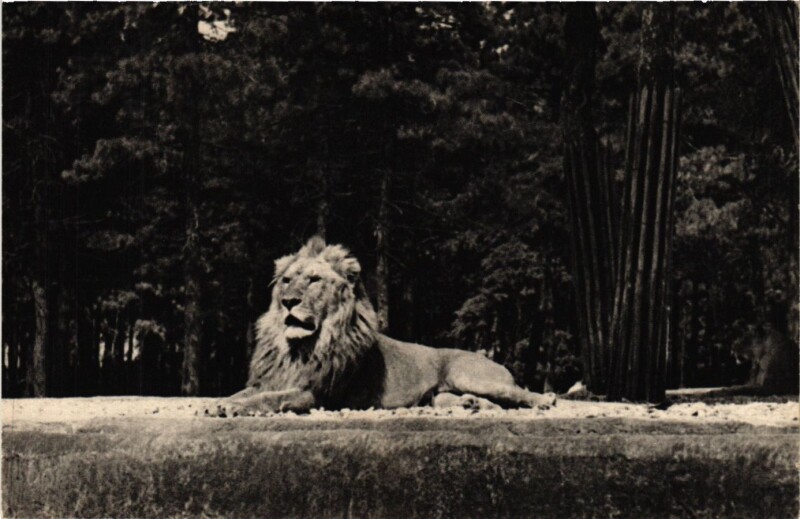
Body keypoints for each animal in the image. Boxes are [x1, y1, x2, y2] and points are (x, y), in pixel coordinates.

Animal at [213, 236, 555, 416]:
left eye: (314, 280)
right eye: (286, 280)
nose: (288, 301)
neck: (300, 348)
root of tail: (484, 354)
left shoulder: (316, 394)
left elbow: (269, 399)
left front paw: (231, 408)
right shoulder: (271, 379)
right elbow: (244, 392)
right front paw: (220, 403)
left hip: (469, 374)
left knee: (518, 392)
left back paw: (546, 400)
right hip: (442, 394)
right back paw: (471, 405)